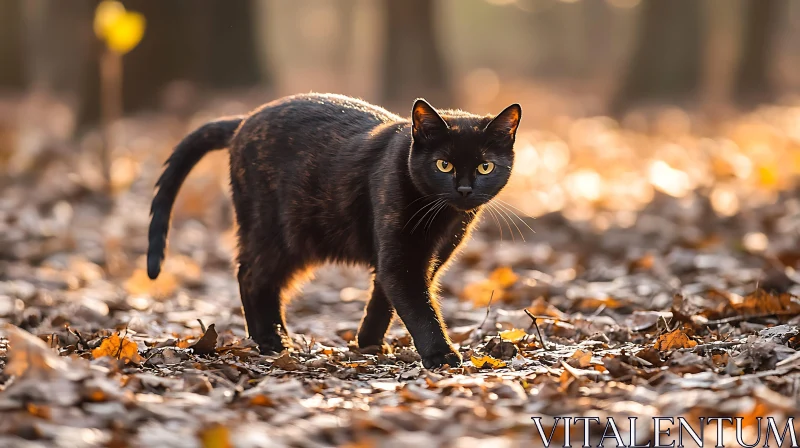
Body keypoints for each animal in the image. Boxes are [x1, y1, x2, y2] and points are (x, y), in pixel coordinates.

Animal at [147, 93, 520, 368]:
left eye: (485, 167)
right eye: (444, 164)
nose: (465, 190)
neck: (445, 218)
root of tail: (245, 119)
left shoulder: (425, 257)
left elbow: (383, 299)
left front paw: (368, 344)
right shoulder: (401, 258)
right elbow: (419, 307)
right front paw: (441, 355)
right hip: (278, 233)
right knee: (251, 275)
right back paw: (271, 341)